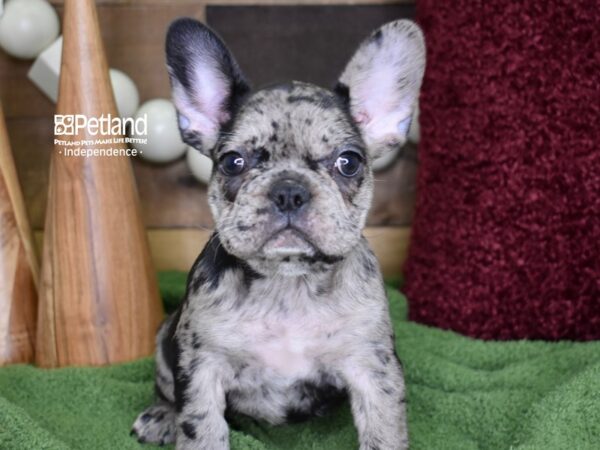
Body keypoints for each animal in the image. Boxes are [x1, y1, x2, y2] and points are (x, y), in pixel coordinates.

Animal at [132, 16, 422, 450]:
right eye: (233, 162)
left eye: (349, 162)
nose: (289, 190)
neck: (289, 283)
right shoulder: (201, 366)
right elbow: (201, 428)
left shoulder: (373, 367)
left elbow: (384, 430)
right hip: (167, 338)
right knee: (164, 389)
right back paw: (161, 416)